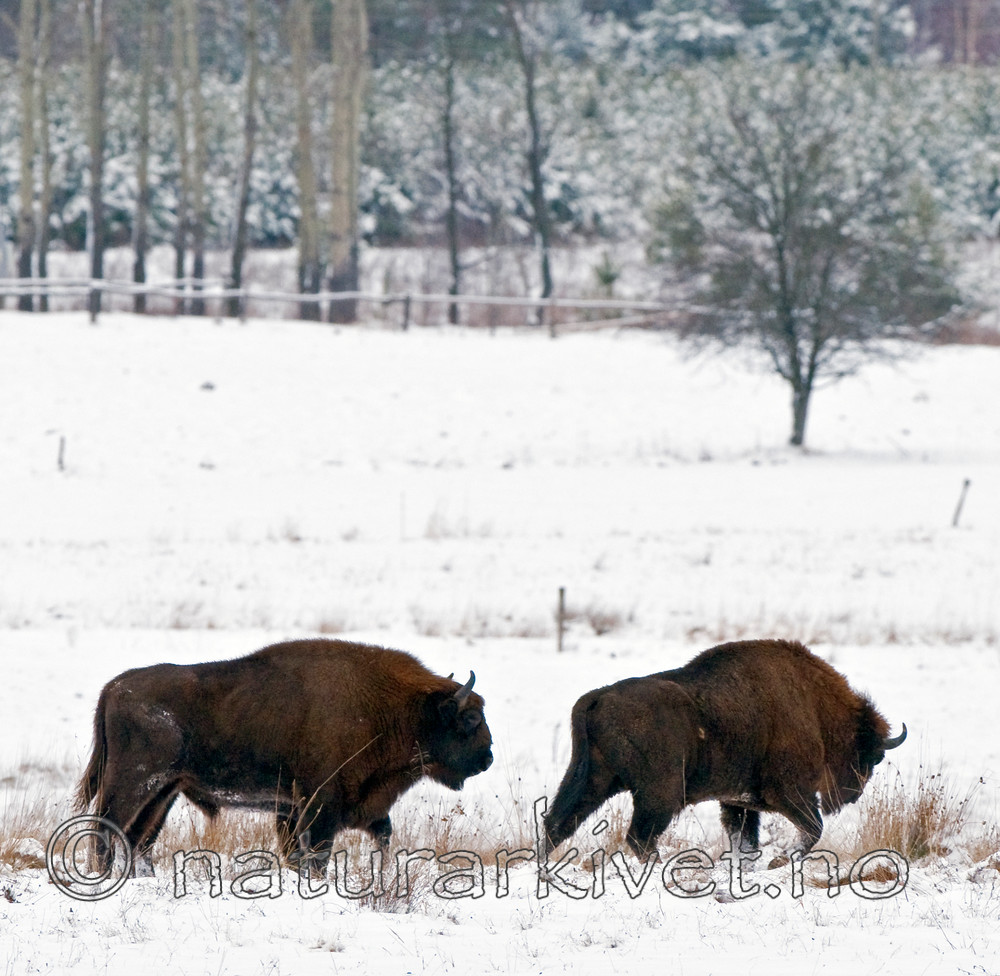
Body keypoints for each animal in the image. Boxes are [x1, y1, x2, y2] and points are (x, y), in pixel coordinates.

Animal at [77, 638, 493, 873]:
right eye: (470, 718)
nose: (487, 758)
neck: (398, 708)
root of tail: (113, 688)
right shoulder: (320, 808)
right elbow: (316, 857)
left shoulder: (325, 809)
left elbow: (381, 835)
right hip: (134, 782)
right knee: (107, 829)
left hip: (164, 791)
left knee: (136, 838)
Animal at [543, 639, 906, 863]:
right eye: (872, 756)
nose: (854, 795)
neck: (815, 709)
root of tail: (597, 698)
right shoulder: (789, 793)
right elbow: (812, 829)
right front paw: (781, 861)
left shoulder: (739, 804)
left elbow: (746, 843)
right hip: (659, 795)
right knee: (638, 836)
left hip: (591, 780)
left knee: (558, 823)